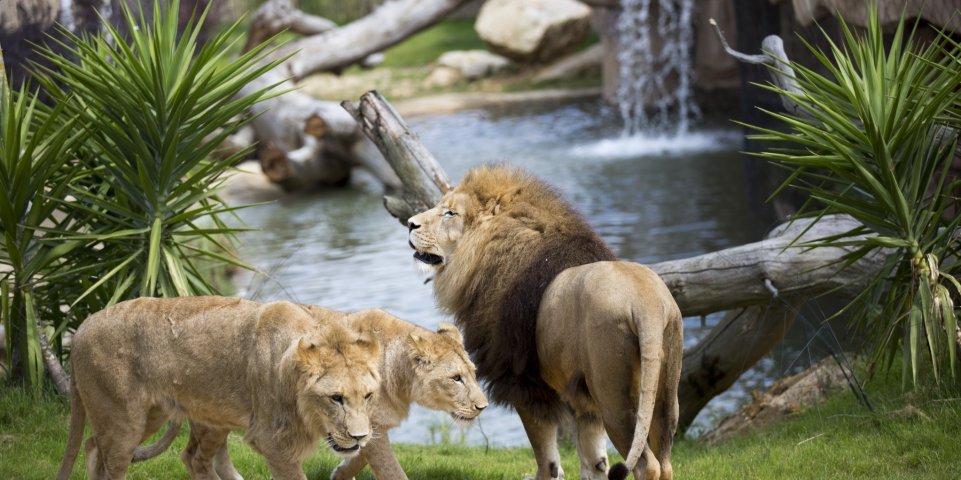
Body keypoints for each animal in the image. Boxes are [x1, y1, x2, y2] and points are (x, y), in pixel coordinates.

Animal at [56, 296, 382, 480]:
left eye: (367, 396)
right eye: (335, 398)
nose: (361, 437)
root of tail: (82, 327)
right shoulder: (273, 441)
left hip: (162, 415)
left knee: (96, 446)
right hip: (124, 421)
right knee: (109, 462)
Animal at [404, 166, 684, 480]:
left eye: (450, 213)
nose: (410, 224)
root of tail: (647, 305)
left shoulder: (522, 381)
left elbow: (545, 455)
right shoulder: (582, 400)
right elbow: (594, 460)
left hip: (615, 399)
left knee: (647, 465)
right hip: (664, 398)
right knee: (666, 461)